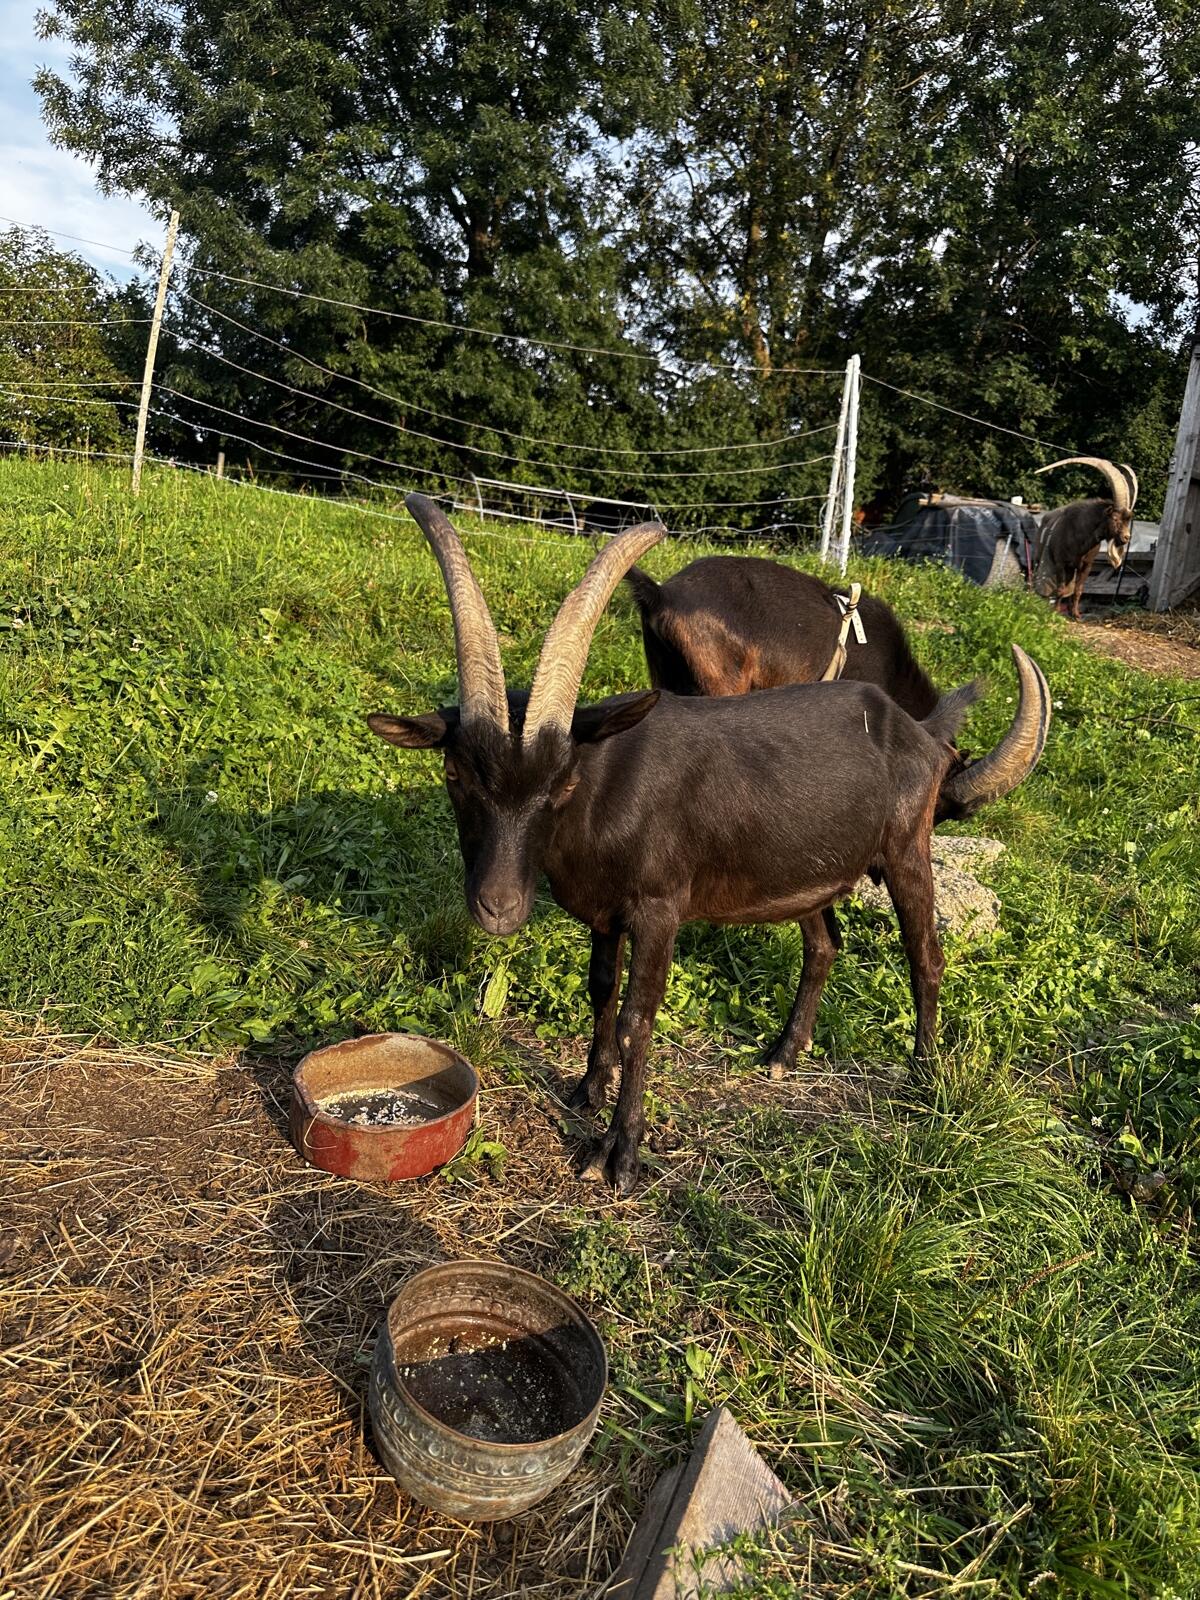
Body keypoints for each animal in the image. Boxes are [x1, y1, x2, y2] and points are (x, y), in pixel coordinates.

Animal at [1032, 456, 1138, 619]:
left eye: (1128, 520)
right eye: (1114, 518)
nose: (1126, 538)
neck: (1080, 538)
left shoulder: (1086, 566)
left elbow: (1078, 590)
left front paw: (1076, 614)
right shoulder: (1060, 563)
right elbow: (1060, 588)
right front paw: (1055, 612)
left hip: (1071, 569)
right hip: (1040, 558)